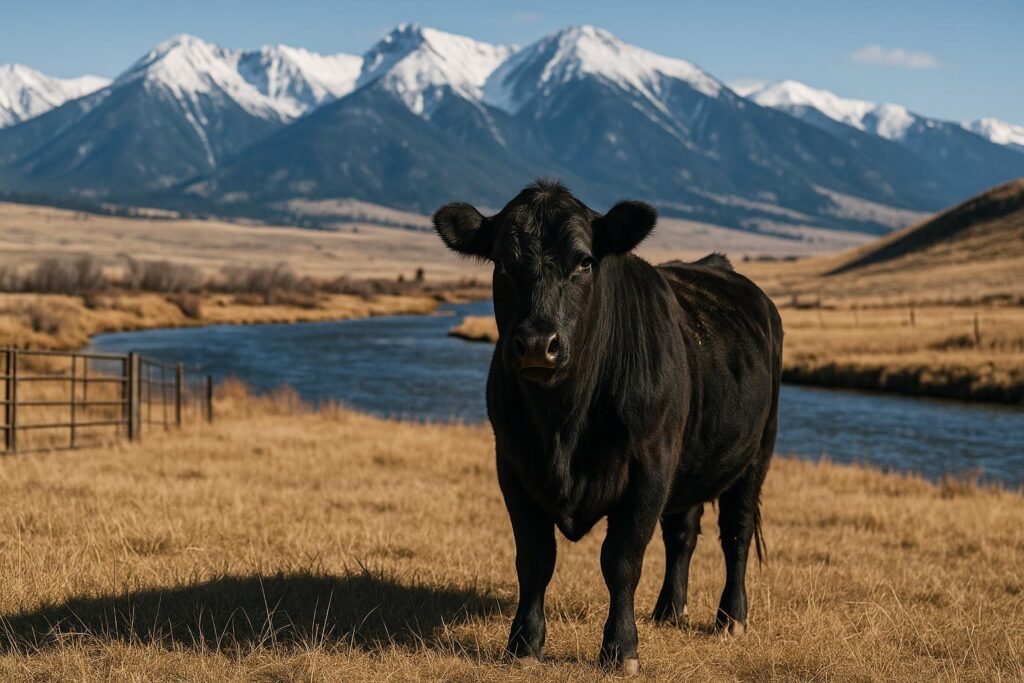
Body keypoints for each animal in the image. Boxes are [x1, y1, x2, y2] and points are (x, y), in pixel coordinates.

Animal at [433, 180, 782, 674]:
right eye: (501, 262)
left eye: (584, 261)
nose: (537, 344)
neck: (563, 424)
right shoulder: (513, 465)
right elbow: (535, 559)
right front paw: (523, 644)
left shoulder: (649, 468)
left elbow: (621, 560)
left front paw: (621, 650)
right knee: (682, 532)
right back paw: (669, 611)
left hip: (756, 454)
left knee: (736, 532)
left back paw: (731, 619)